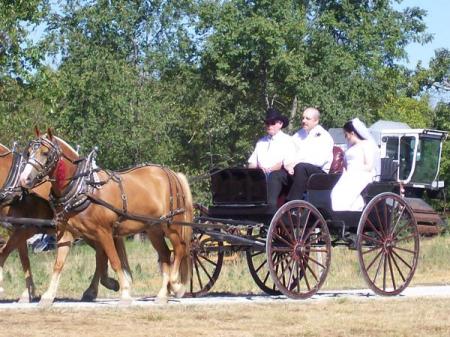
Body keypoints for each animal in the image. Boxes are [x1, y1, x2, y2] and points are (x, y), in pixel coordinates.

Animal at [0, 141, 123, 302]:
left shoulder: (26, 228)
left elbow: (7, 253)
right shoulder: (17, 229)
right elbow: (23, 259)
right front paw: (28, 293)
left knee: (101, 254)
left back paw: (97, 288)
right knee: (101, 254)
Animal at [19, 130, 192, 304]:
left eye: (45, 153)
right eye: (29, 152)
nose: (24, 179)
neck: (84, 188)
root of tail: (171, 173)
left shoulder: (104, 232)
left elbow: (114, 261)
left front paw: (125, 292)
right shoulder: (67, 233)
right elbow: (59, 264)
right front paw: (48, 295)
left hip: (172, 225)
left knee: (180, 249)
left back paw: (176, 284)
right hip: (153, 230)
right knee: (165, 255)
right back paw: (163, 294)